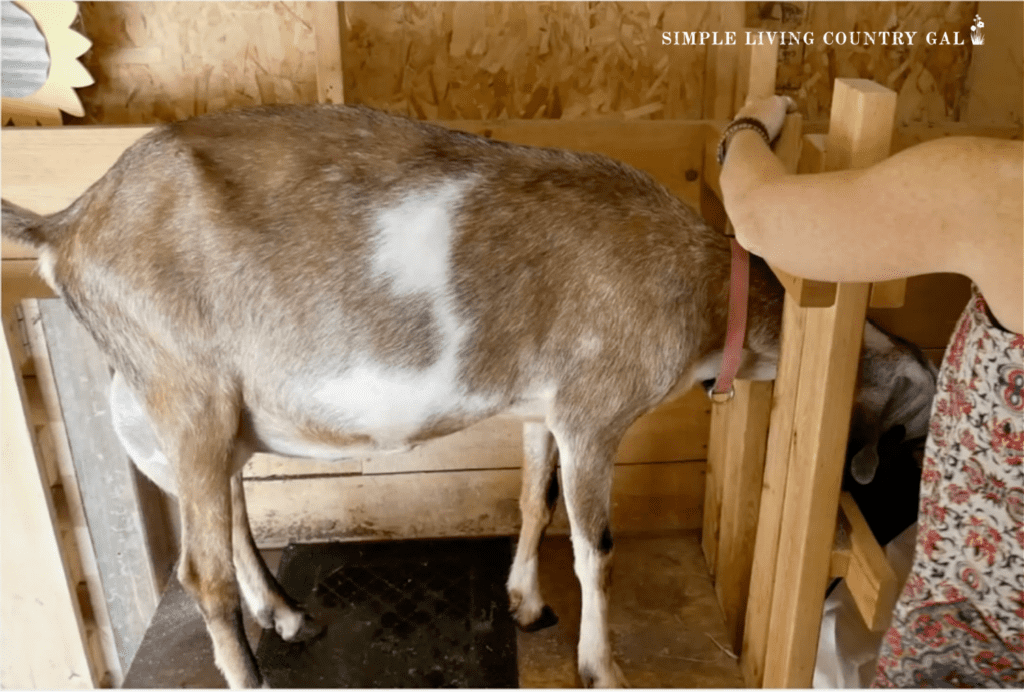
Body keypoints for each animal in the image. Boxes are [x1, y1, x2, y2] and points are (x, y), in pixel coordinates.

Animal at [0, 103, 937, 687]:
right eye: (913, 427)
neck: (705, 289)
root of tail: (67, 226)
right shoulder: (594, 409)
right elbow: (596, 543)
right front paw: (605, 667)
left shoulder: (540, 406)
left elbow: (533, 502)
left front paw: (526, 604)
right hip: (185, 389)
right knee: (200, 572)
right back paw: (256, 671)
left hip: (206, 409)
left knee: (226, 514)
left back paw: (289, 616)